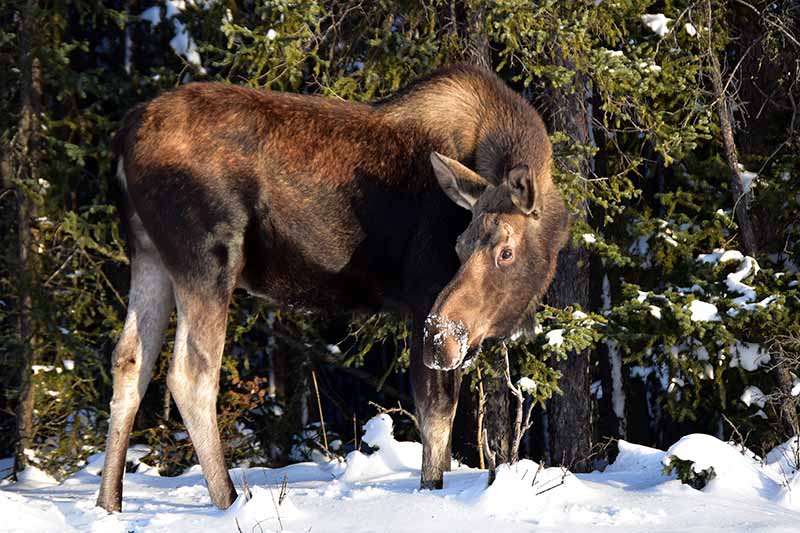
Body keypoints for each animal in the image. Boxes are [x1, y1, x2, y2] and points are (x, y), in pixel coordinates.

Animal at [97, 63, 564, 512]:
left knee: (129, 359)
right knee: (191, 373)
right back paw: (228, 500)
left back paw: (109, 503)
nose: (443, 334)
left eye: (504, 251)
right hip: (207, 256)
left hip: (148, 252)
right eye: (459, 245)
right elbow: (435, 421)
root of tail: (121, 138)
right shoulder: (422, 298)